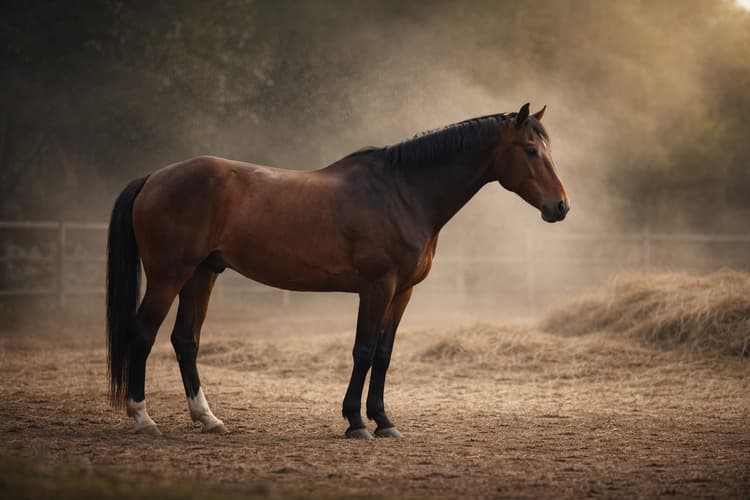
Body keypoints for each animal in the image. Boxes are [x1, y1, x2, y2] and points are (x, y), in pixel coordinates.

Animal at [106, 103, 569, 439]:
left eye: (549, 150)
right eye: (530, 150)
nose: (560, 207)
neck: (402, 193)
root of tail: (155, 177)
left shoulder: (402, 292)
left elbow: (383, 353)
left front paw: (384, 421)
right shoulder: (377, 287)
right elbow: (363, 350)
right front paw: (356, 423)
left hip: (202, 274)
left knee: (186, 340)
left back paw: (208, 419)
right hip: (169, 275)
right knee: (143, 334)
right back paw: (144, 419)